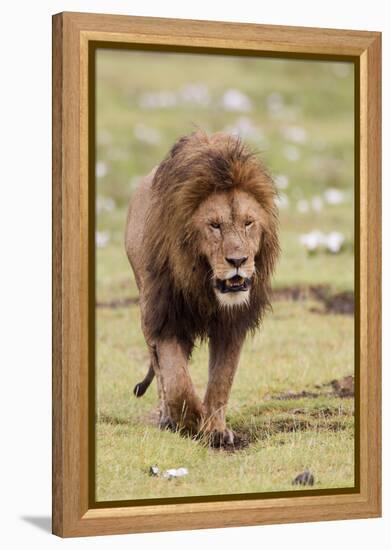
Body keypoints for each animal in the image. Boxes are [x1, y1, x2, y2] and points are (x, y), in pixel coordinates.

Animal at [125, 130, 278, 448]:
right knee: (160, 373)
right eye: (214, 225)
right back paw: (167, 418)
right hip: (146, 307)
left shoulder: (232, 324)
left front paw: (215, 429)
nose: (237, 261)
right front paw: (191, 419)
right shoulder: (165, 317)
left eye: (248, 223)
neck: (203, 285)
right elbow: (177, 380)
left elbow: (222, 379)